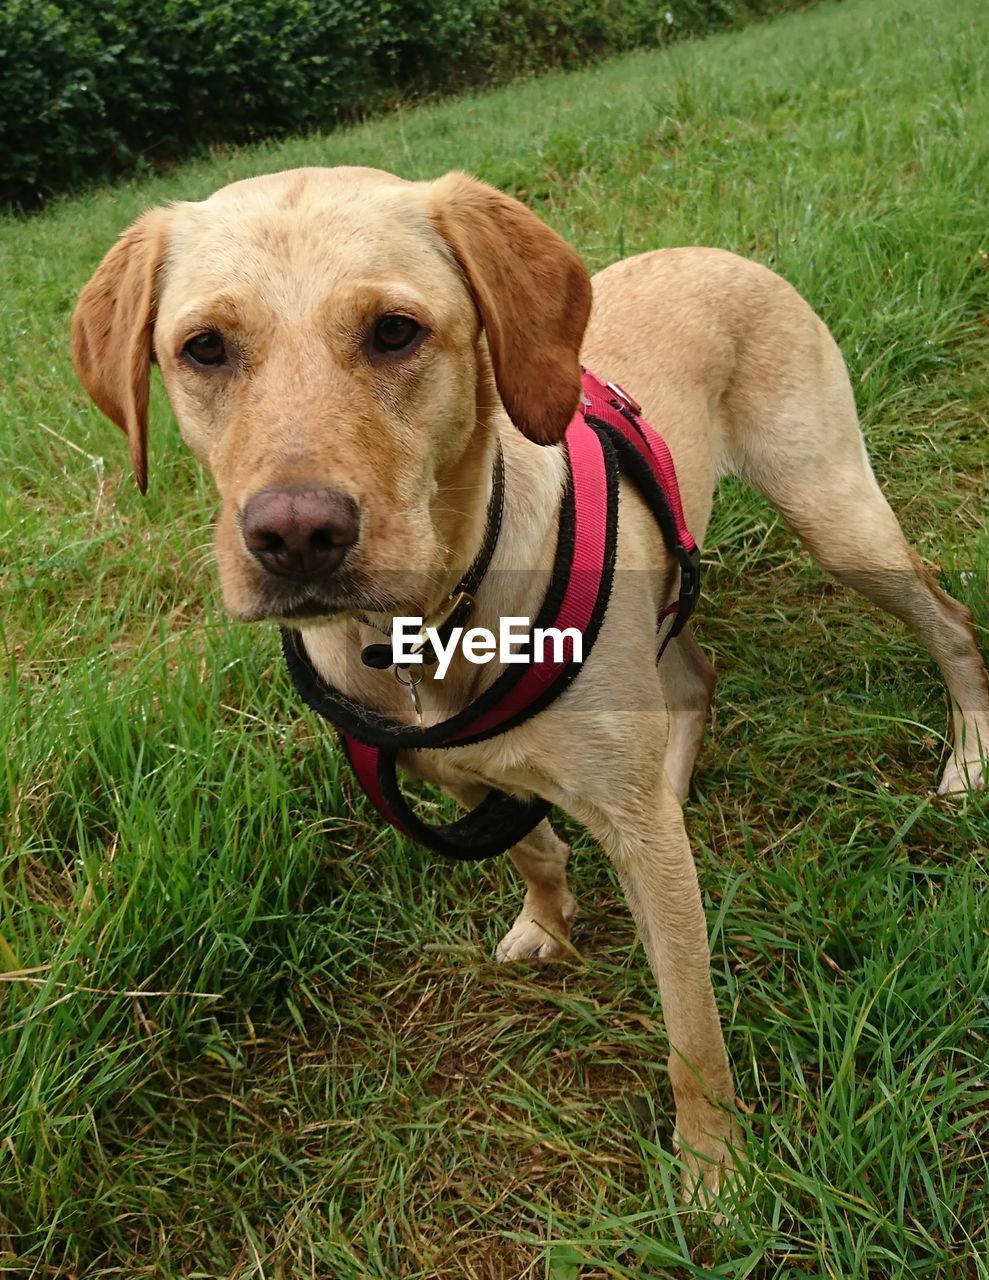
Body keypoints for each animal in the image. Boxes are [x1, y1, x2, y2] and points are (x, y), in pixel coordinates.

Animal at [71, 167, 987, 1198]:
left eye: (395, 331)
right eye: (204, 349)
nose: (296, 536)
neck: (424, 631)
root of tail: (719, 253)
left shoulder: (643, 857)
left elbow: (691, 1030)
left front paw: (714, 1172)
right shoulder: (455, 772)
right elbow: (531, 849)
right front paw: (547, 919)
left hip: (834, 514)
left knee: (949, 623)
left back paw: (967, 758)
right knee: (691, 678)